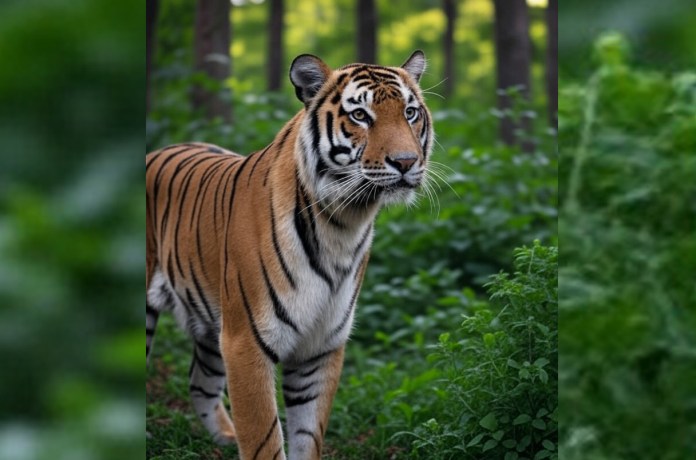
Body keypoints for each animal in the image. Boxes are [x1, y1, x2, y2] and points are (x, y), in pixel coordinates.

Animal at [146, 50, 433, 459]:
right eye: (361, 115)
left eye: (410, 112)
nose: (407, 162)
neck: (343, 224)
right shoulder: (245, 341)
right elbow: (264, 437)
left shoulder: (322, 345)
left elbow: (307, 435)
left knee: (199, 381)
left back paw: (224, 437)